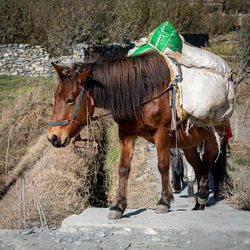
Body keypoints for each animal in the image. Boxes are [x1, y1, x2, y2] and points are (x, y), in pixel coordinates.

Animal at [47, 51, 226, 220]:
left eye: (70, 100)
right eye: (56, 96)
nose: (53, 137)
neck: (142, 92)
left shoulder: (162, 134)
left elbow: (162, 166)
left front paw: (164, 202)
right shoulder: (127, 135)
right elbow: (123, 168)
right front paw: (118, 206)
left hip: (214, 138)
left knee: (208, 161)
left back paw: (203, 194)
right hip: (188, 143)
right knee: (199, 166)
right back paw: (199, 201)